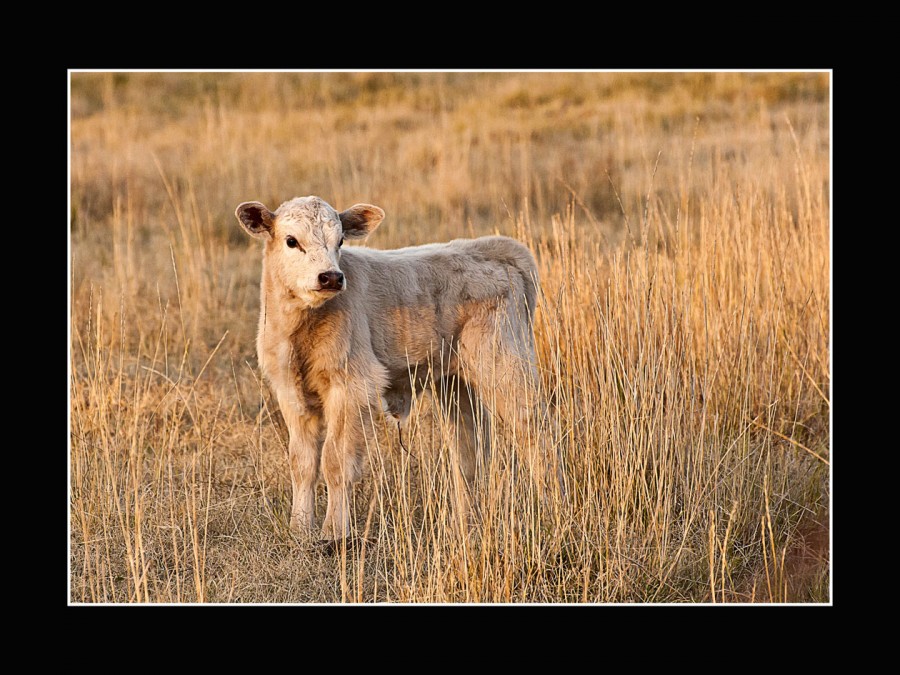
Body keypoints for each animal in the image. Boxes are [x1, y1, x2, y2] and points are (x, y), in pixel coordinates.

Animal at [236, 197, 548, 544]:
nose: (330, 277)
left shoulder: (352, 388)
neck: (301, 330)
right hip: (457, 384)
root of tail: (491, 249)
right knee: (470, 452)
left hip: (506, 366)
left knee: (537, 435)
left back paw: (554, 509)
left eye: (340, 241)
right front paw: (300, 529)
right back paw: (466, 526)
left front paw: (333, 533)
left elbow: (335, 462)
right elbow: (302, 464)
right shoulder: (291, 393)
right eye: (291, 241)